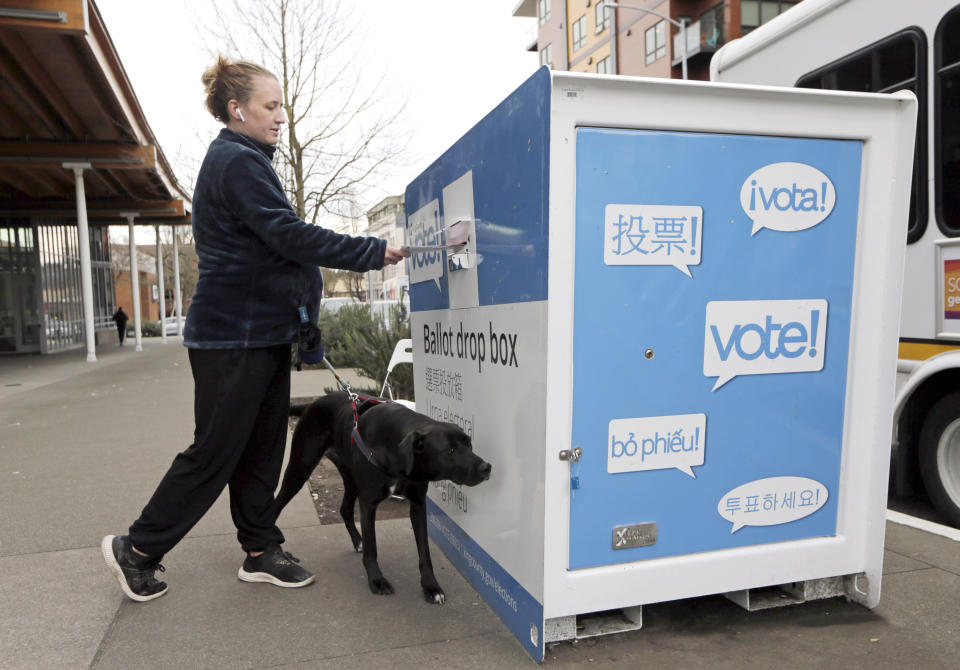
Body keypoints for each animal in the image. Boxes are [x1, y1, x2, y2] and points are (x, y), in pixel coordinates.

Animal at [274, 392, 492, 608]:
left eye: (469, 444)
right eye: (450, 451)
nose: (487, 468)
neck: (396, 452)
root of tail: (313, 402)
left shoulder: (418, 505)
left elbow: (424, 552)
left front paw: (431, 586)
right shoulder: (368, 503)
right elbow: (372, 548)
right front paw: (377, 581)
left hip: (350, 477)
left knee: (345, 509)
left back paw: (357, 541)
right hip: (299, 469)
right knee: (277, 504)